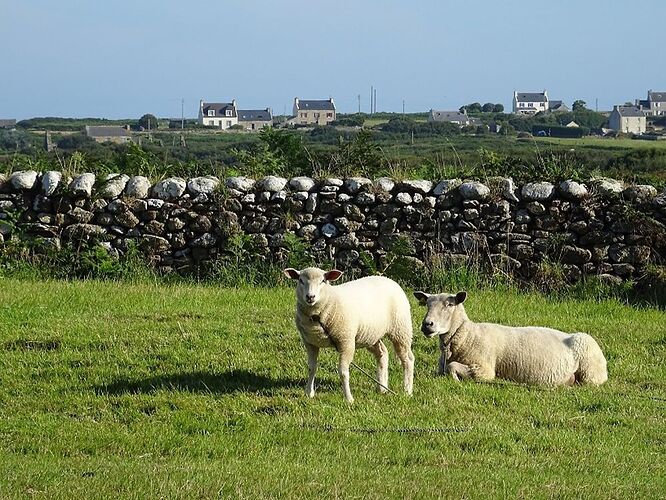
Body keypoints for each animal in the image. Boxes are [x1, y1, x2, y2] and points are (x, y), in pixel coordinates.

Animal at [282, 266, 412, 402]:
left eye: (323, 281)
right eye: (300, 280)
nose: (310, 297)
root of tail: (390, 280)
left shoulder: (346, 341)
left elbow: (343, 372)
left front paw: (348, 398)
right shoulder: (310, 342)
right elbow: (311, 368)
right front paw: (309, 392)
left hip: (401, 329)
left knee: (408, 359)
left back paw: (407, 390)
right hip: (371, 335)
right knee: (383, 353)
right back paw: (382, 388)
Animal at [416, 290, 608, 386]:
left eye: (449, 305)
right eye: (427, 304)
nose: (427, 324)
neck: (467, 335)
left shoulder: (484, 370)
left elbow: (453, 367)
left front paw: (456, 379)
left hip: (590, 373)